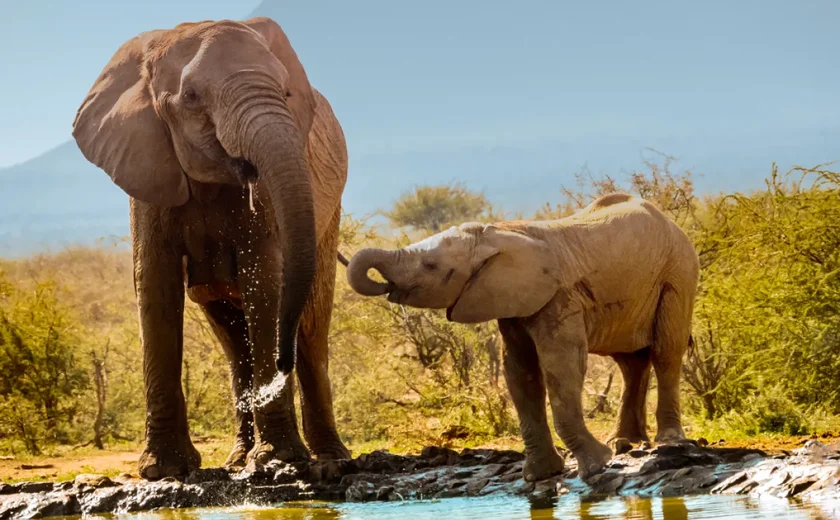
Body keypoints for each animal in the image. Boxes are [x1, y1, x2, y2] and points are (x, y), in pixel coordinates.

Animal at [70, 16, 350, 480]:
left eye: (285, 92)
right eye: (191, 97)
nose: (282, 364)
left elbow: (264, 280)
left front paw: (279, 462)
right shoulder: (147, 167)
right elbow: (155, 283)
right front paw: (164, 470)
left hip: (330, 217)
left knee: (311, 330)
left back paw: (329, 461)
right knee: (235, 345)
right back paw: (237, 458)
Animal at [344, 194, 700, 480]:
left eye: (431, 265)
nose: (383, 285)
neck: (494, 235)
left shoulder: (559, 297)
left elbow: (561, 367)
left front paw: (596, 465)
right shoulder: (512, 303)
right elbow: (519, 372)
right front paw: (541, 476)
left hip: (678, 271)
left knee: (666, 351)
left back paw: (668, 441)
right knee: (630, 363)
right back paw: (626, 443)